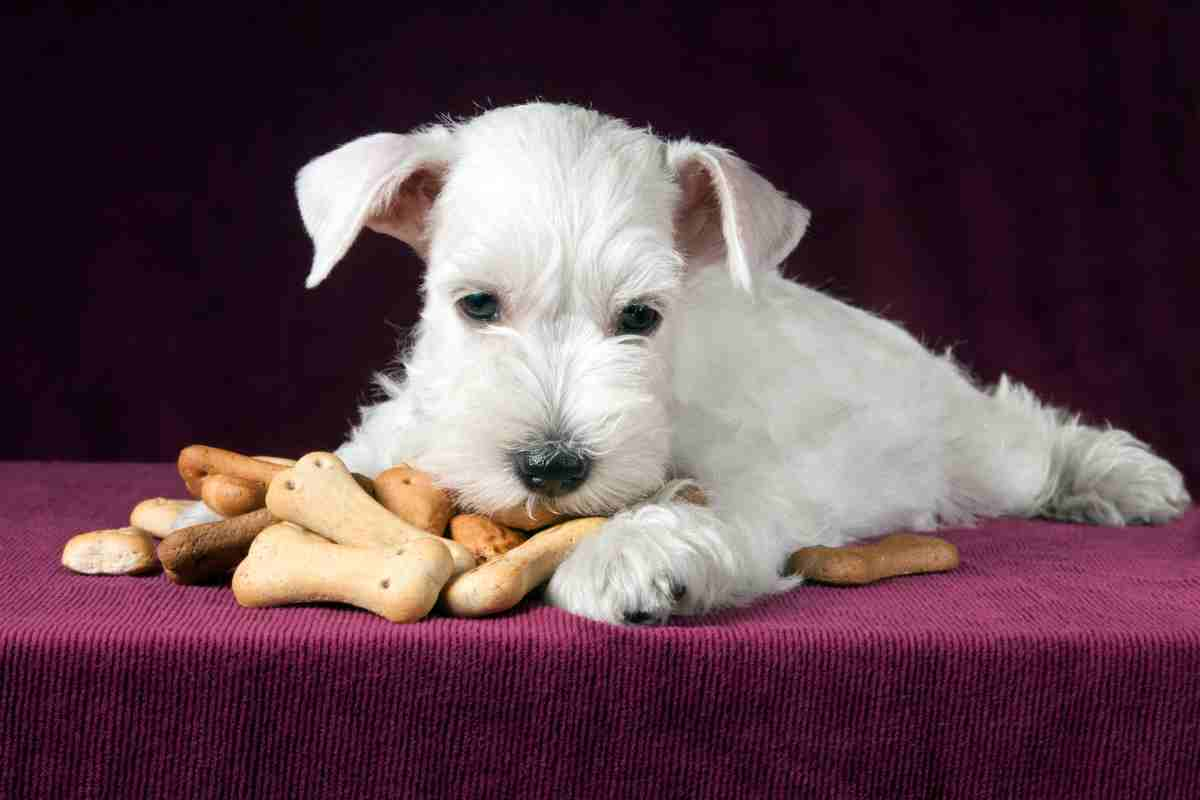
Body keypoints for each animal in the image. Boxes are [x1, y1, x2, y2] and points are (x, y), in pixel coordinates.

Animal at [174, 101, 1185, 623]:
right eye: (476, 306)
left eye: (641, 317)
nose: (551, 465)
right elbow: (360, 461)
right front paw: (207, 513)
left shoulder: (758, 477)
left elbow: (699, 506)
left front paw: (632, 554)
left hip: (981, 448)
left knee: (1034, 435)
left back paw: (1127, 480)